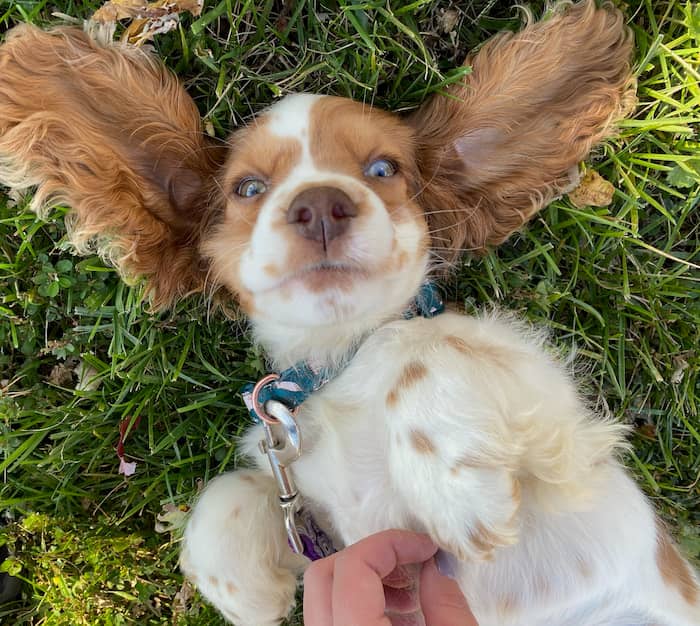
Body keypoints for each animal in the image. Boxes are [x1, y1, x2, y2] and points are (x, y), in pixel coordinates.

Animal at [2, 3, 696, 624]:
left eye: (383, 168)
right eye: (248, 188)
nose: (319, 206)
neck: (341, 360)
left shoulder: (573, 445)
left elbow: (426, 347)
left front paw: (462, 495)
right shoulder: (316, 514)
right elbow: (229, 493)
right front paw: (244, 593)